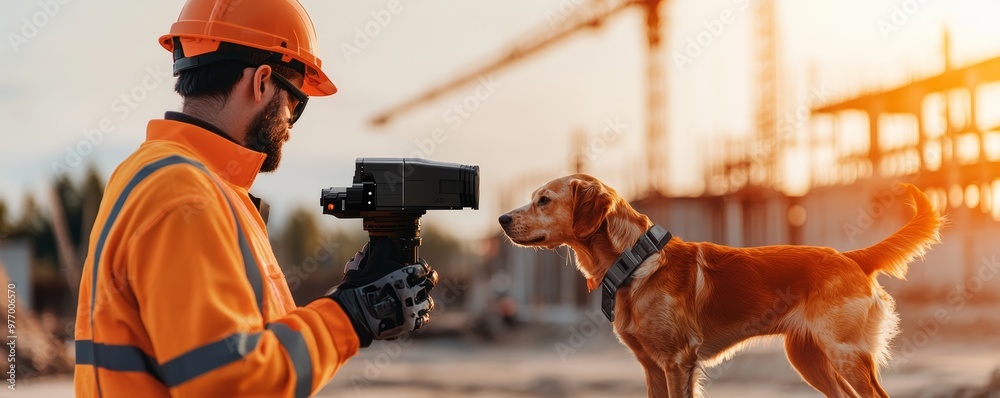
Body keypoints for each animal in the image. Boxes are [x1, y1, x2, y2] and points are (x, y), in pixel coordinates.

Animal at [496, 174, 940, 398]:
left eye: (544, 200)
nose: (501, 218)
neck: (634, 262)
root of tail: (851, 256)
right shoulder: (650, 366)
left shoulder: (677, 361)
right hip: (809, 359)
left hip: (845, 354)